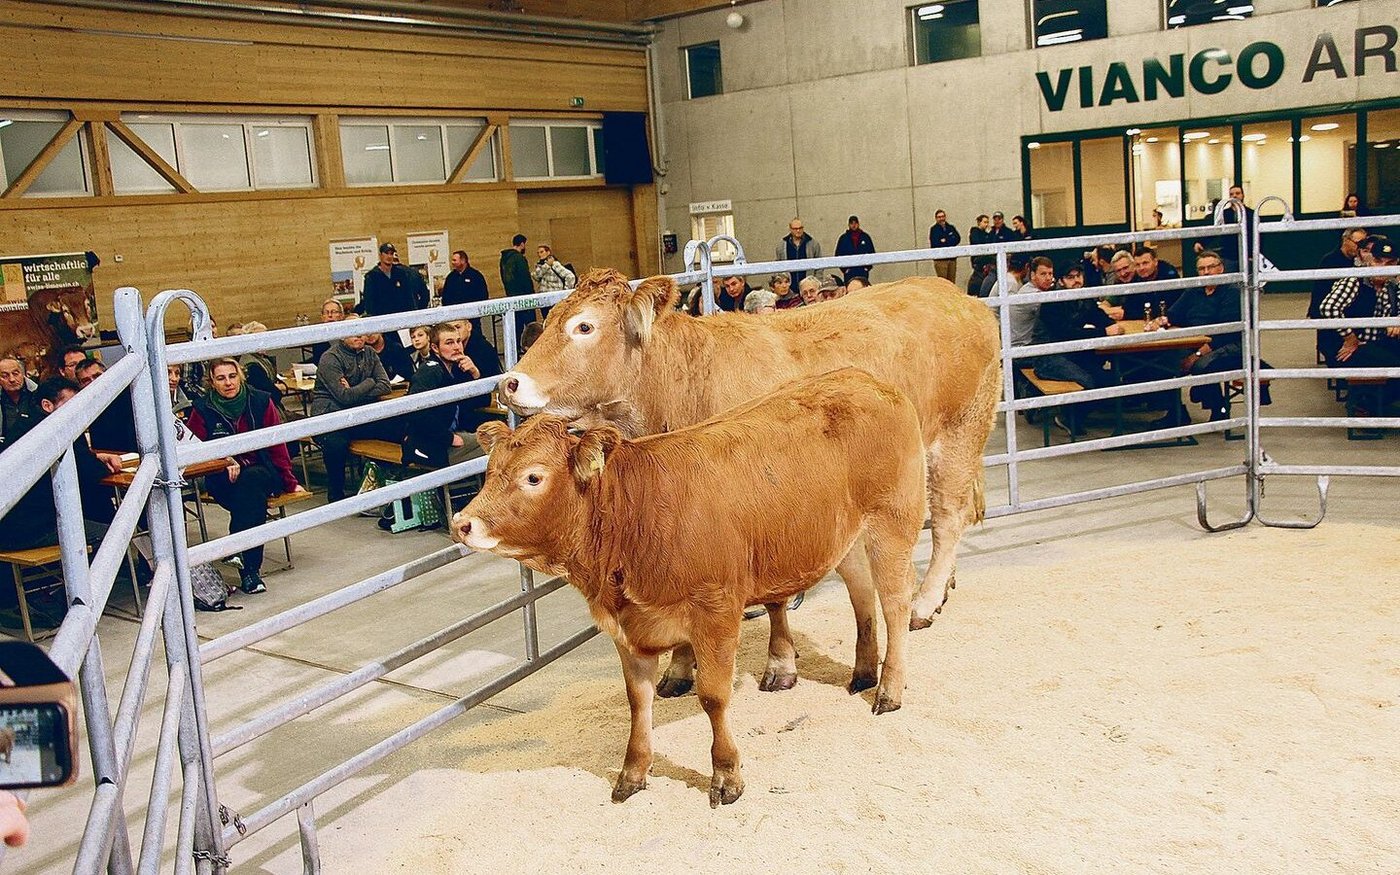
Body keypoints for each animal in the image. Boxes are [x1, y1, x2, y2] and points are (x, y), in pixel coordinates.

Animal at [453, 368, 928, 806]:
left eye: (533, 477)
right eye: (490, 472)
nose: (462, 523)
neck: (636, 514)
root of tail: (864, 378)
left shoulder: (716, 613)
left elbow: (714, 698)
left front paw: (726, 775)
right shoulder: (627, 629)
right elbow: (638, 701)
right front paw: (632, 773)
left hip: (893, 521)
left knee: (895, 603)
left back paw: (888, 690)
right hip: (844, 537)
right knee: (861, 592)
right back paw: (863, 672)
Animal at [497, 269, 1000, 696]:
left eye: (584, 327)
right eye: (550, 320)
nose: (510, 383)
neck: (683, 386)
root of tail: (955, 295)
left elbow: (775, 601)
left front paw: (780, 664)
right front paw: (680, 669)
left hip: (958, 434)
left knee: (949, 517)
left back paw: (925, 601)